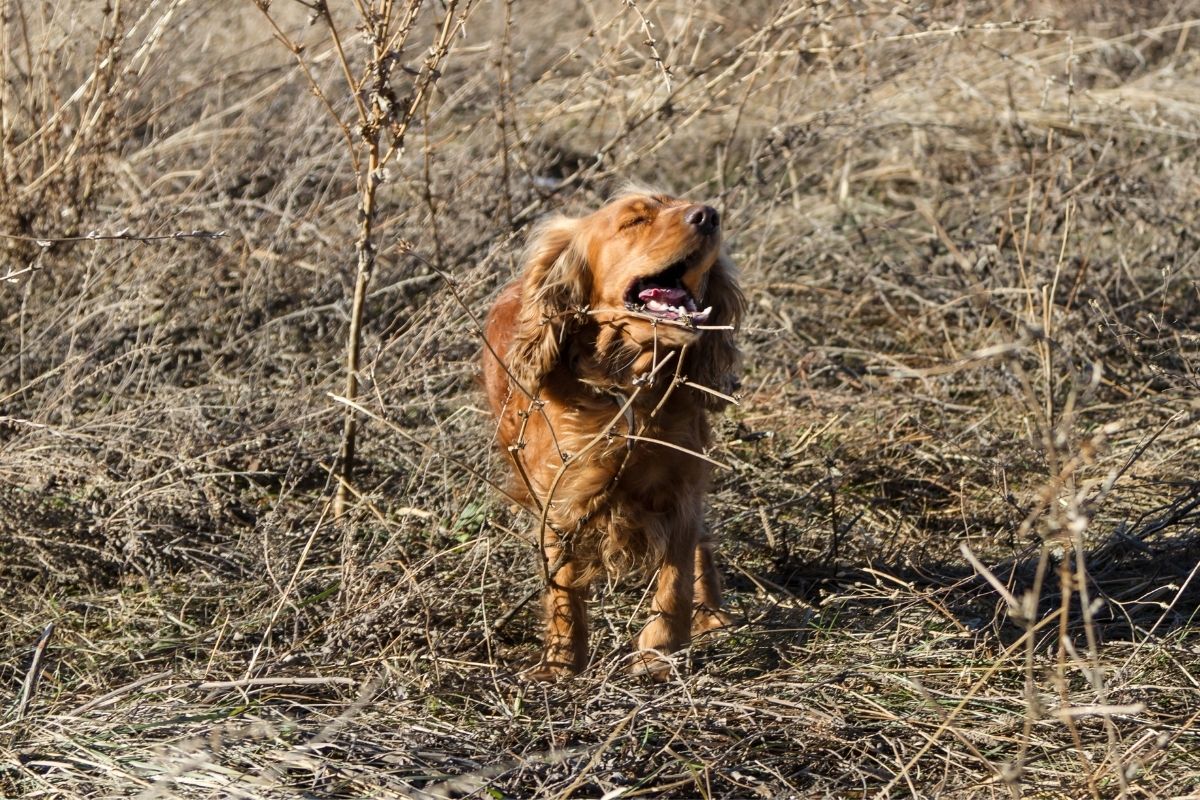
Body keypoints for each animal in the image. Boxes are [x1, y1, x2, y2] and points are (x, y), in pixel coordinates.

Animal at [477, 189, 739, 681]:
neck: (627, 385)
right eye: (634, 220)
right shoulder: (561, 500)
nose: (710, 215)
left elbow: (675, 578)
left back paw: (713, 616)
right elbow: (563, 589)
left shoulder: (682, 488)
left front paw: (658, 654)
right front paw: (561, 663)